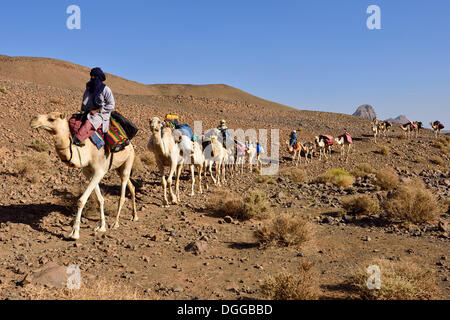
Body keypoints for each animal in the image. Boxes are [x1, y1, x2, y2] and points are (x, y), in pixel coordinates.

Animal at [29, 112, 137, 240]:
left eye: (51, 119)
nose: (33, 121)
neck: (87, 152)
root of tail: (130, 144)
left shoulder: (99, 171)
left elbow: (81, 200)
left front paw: (74, 233)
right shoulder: (88, 173)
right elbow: (100, 199)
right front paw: (101, 227)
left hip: (129, 160)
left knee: (122, 194)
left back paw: (116, 223)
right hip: (118, 168)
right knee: (131, 187)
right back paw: (134, 216)